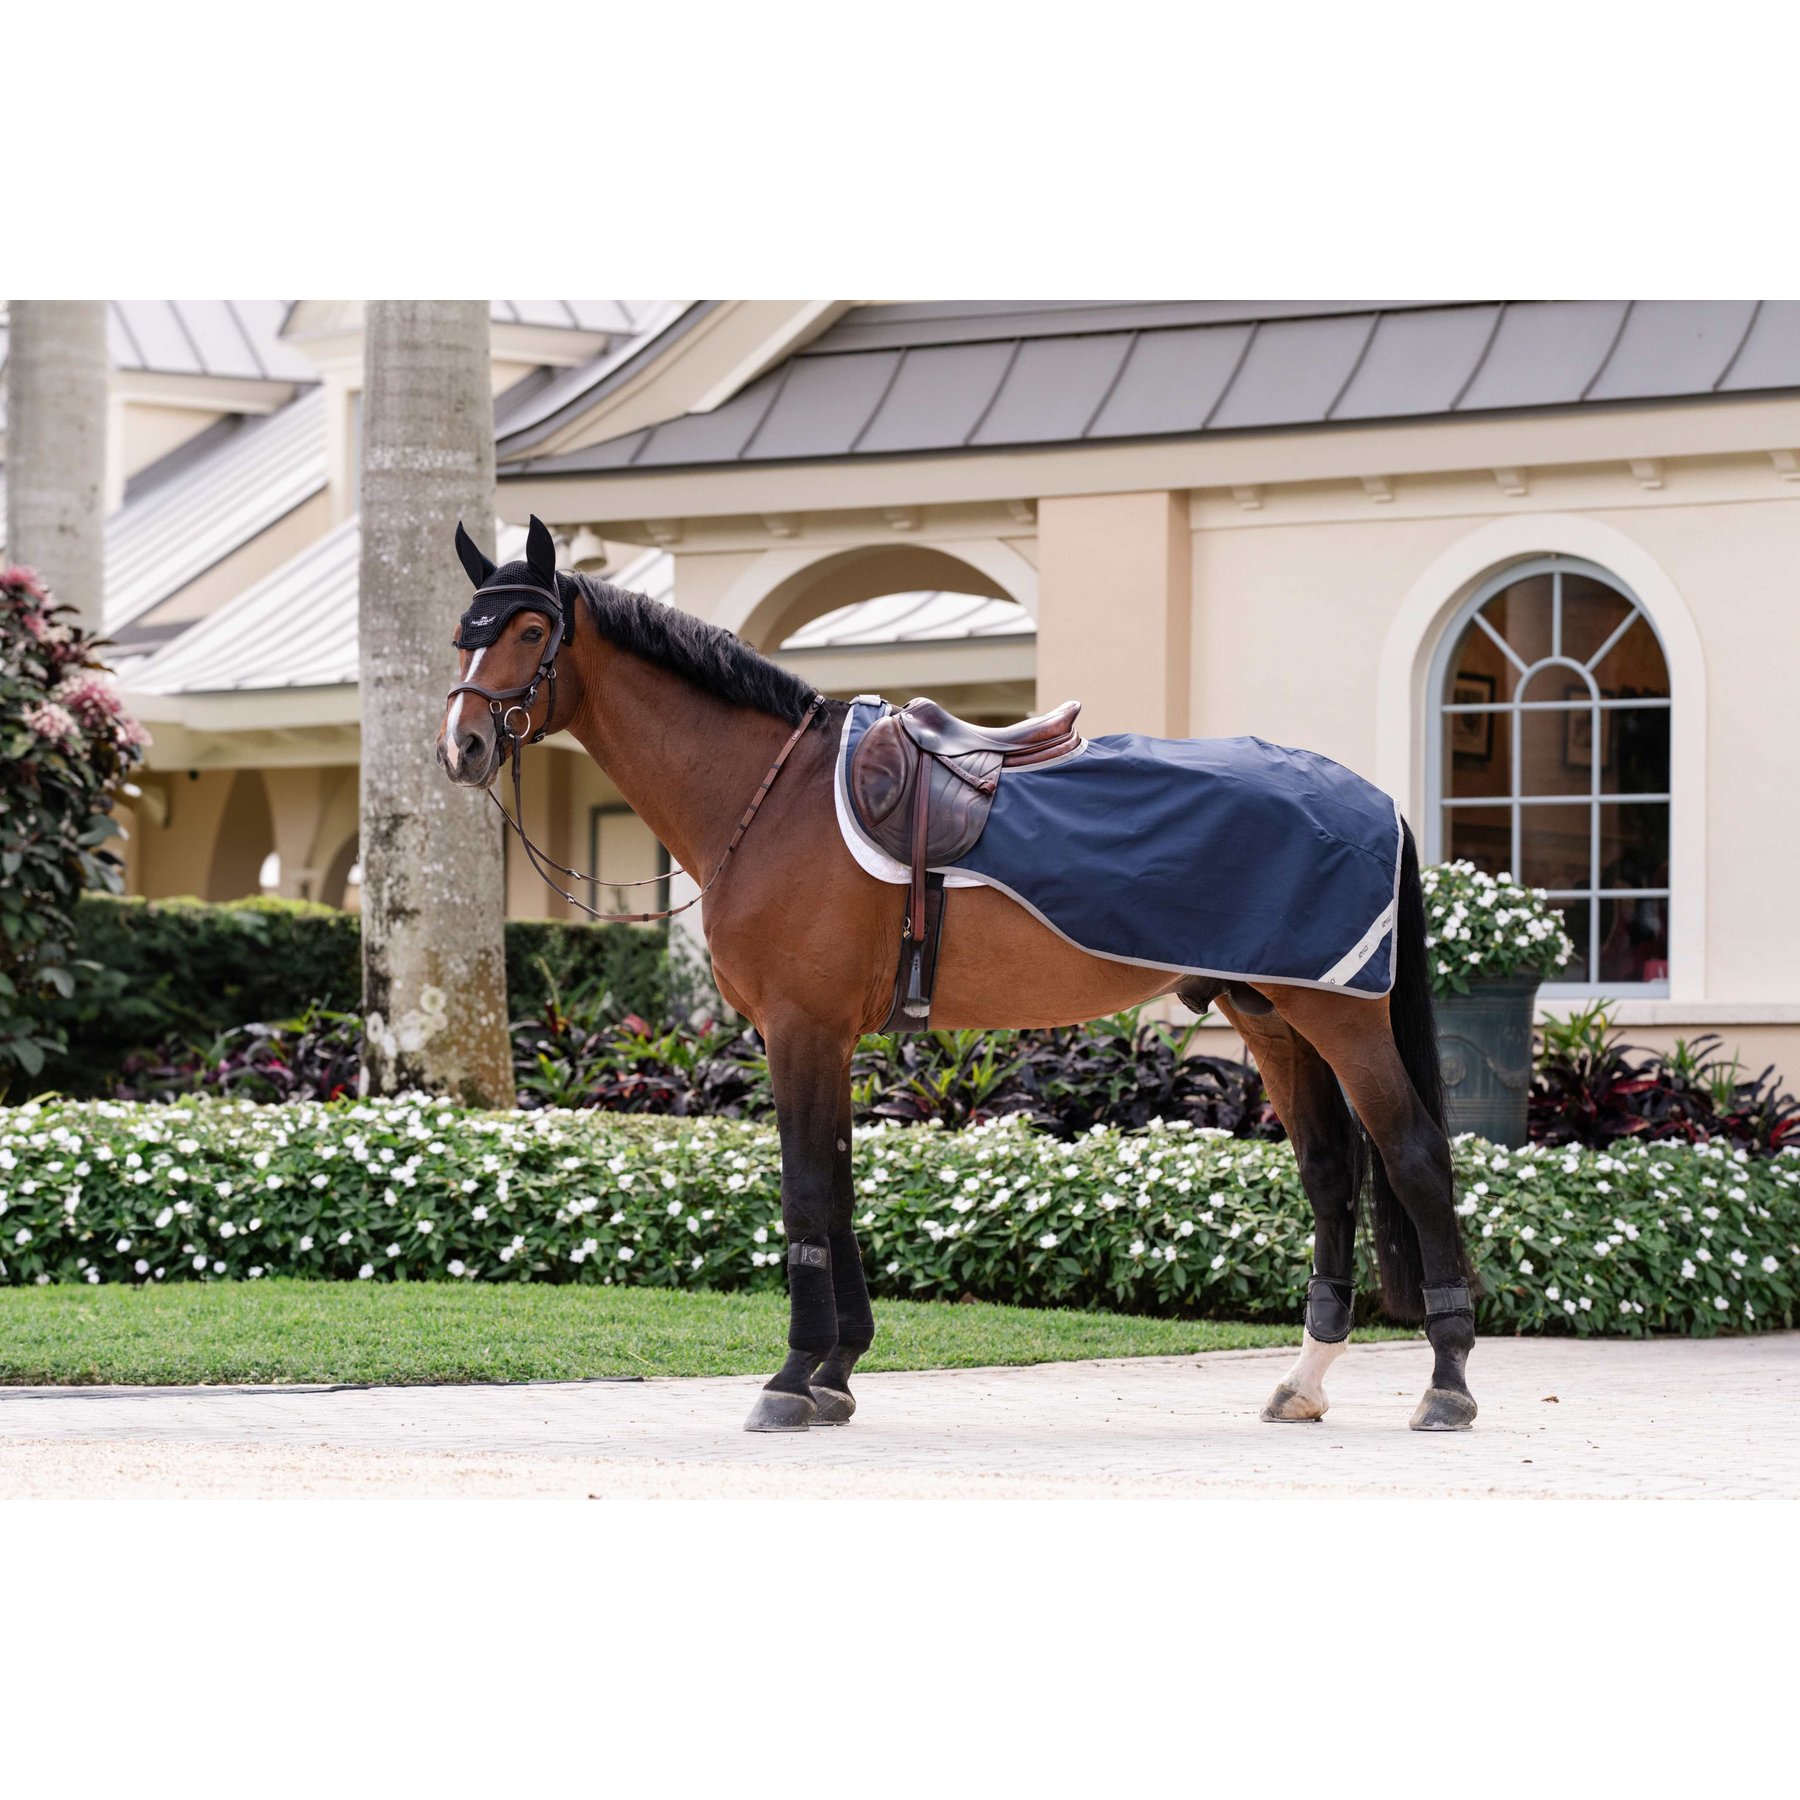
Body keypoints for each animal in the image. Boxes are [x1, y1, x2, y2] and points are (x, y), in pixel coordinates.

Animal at [438, 517, 1476, 1436]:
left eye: (528, 630)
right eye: (463, 630)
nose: (463, 747)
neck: (771, 797)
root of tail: (1370, 796)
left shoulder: (799, 1029)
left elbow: (806, 1193)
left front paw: (791, 1378)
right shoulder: (827, 1040)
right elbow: (838, 1190)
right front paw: (836, 1372)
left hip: (1340, 1018)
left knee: (1415, 1156)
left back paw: (1449, 1383)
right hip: (1269, 1016)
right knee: (1329, 1172)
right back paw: (1305, 1381)